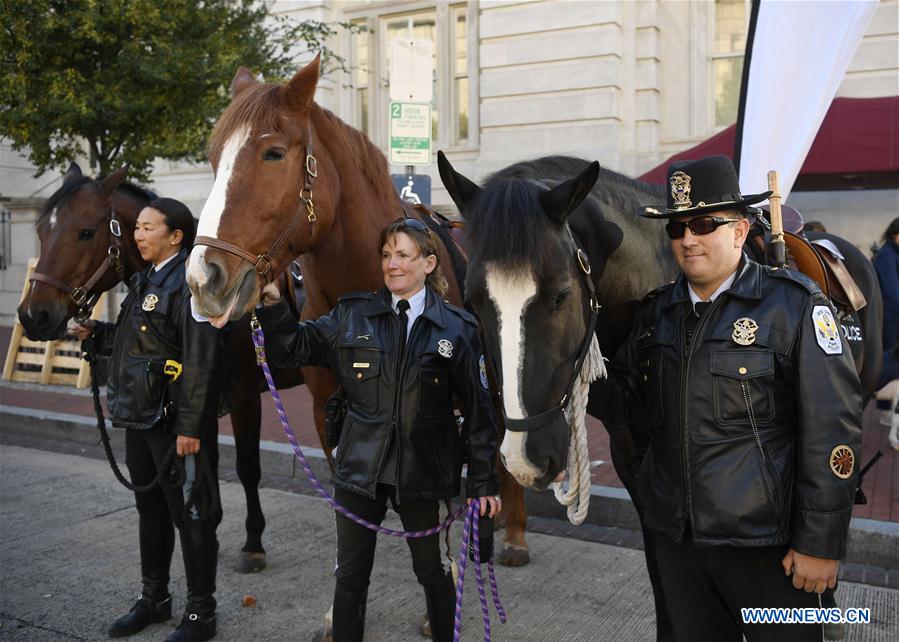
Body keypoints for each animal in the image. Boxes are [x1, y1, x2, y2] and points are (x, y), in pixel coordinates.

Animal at [15, 162, 304, 572]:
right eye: (41, 231)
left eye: (85, 232)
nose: (33, 315)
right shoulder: (202, 396)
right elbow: (206, 461)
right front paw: (211, 531)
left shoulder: (244, 393)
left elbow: (247, 467)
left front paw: (252, 544)